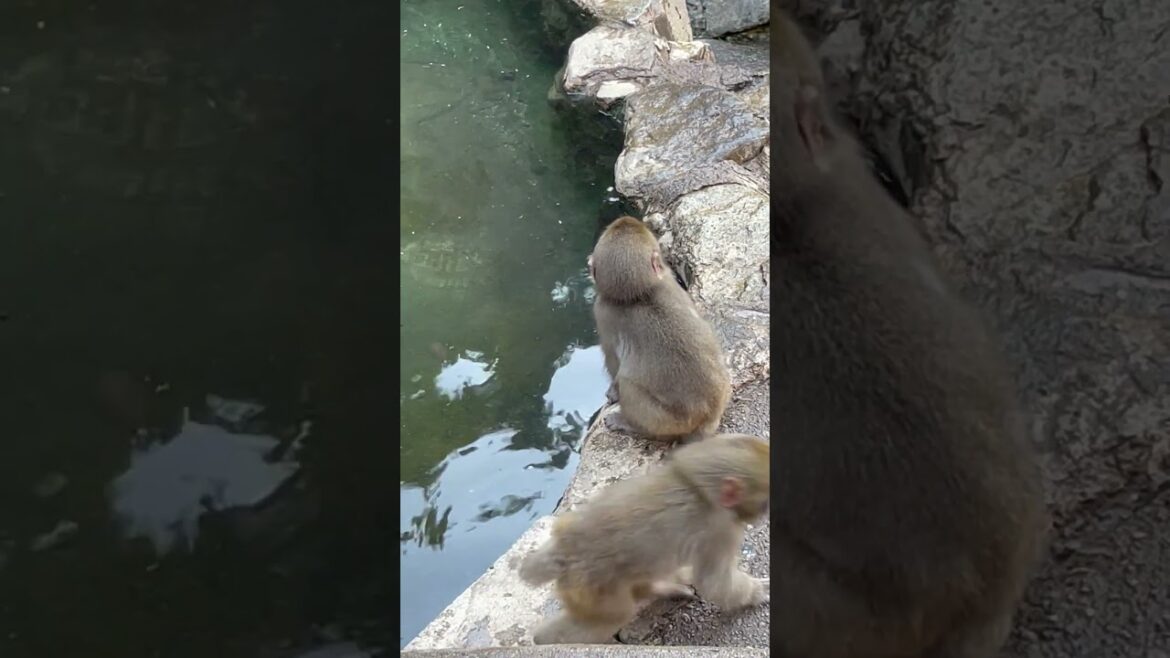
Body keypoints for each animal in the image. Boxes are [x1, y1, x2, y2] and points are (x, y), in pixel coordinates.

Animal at [519, 433, 770, 644]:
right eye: (764, 502)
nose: (762, 516)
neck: (696, 486)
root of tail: (563, 550)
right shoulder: (720, 530)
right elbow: (716, 583)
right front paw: (757, 592)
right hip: (592, 587)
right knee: (611, 618)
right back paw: (543, 640)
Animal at [588, 216, 731, 443]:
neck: (639, 295)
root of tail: (708, 418)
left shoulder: (603, 313)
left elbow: (614, 364)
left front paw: (613, 392)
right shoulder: (672, 281)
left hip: (664, 420)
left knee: (629, 385)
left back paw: (630, 424)